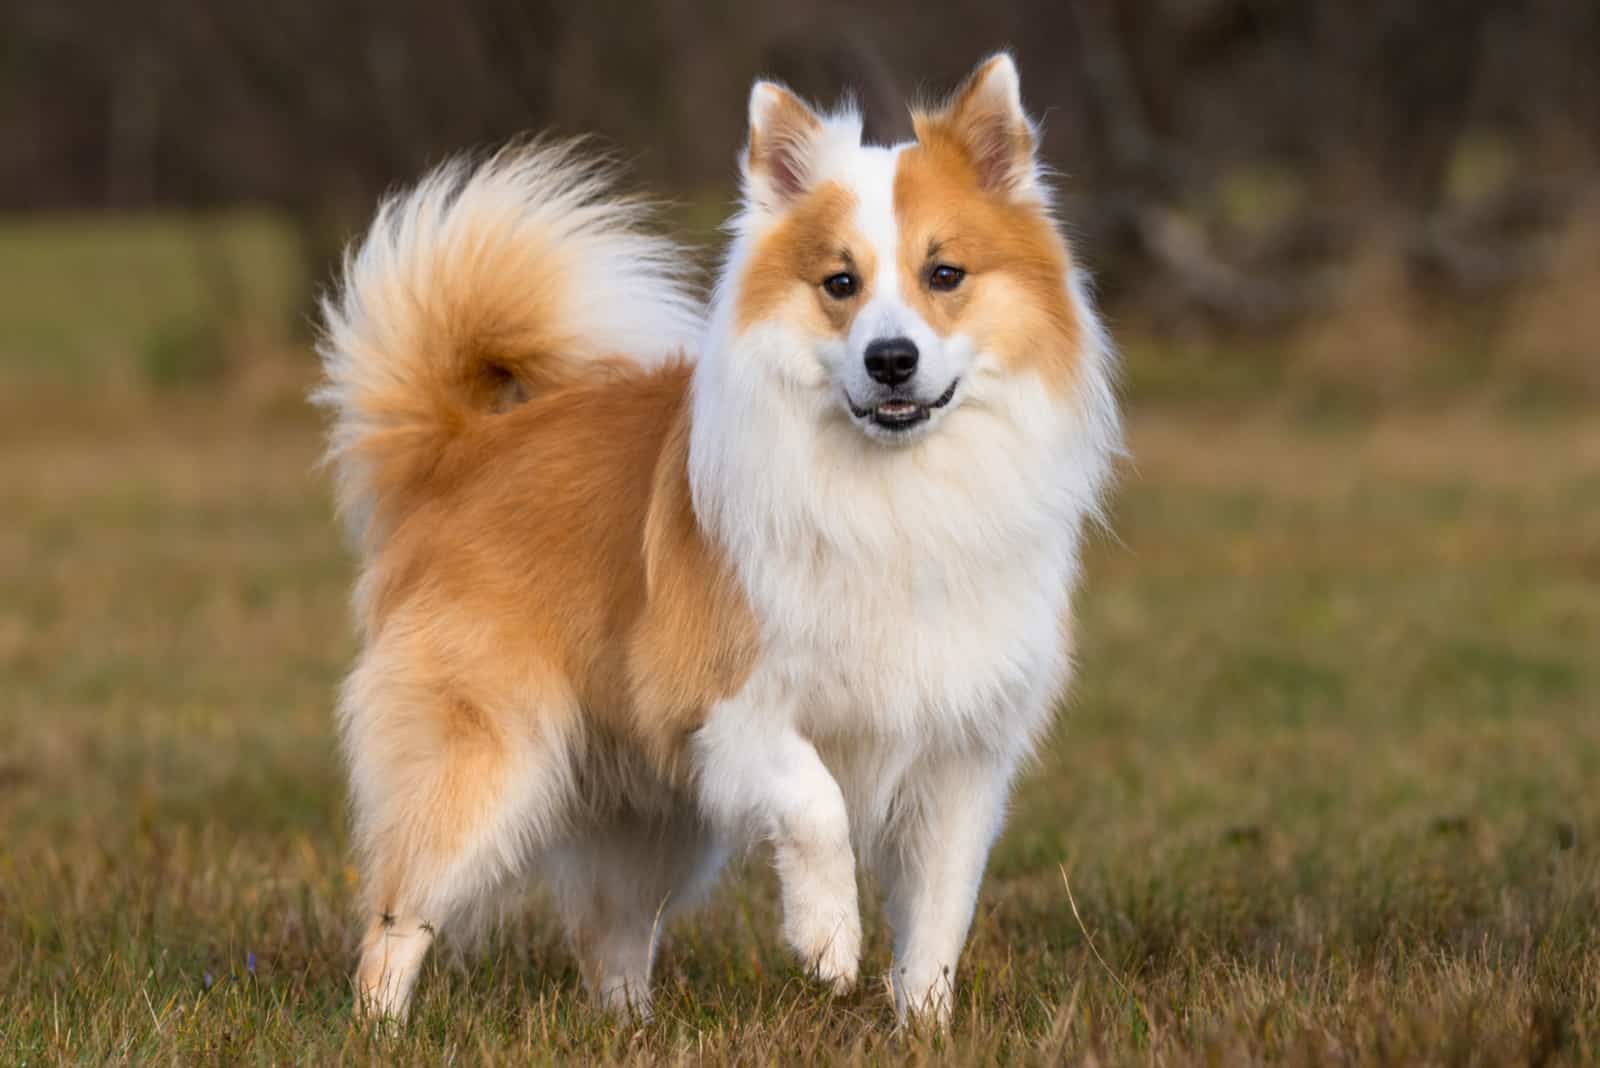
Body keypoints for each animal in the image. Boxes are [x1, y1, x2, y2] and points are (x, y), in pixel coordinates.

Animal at [312, 51, 1113, 1023]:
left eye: (946, 274)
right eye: (840, 283)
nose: (891, 358)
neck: (895, 491)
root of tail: (462, 447)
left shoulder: (959, 756)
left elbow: (938, 918)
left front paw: (923, 1025)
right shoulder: (720, 704)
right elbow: (817, 805)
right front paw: (828, 940)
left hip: (640, 818)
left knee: (609, 938)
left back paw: (629, 1028)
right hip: (487, 762)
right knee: (398, 918)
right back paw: (382, 1028)